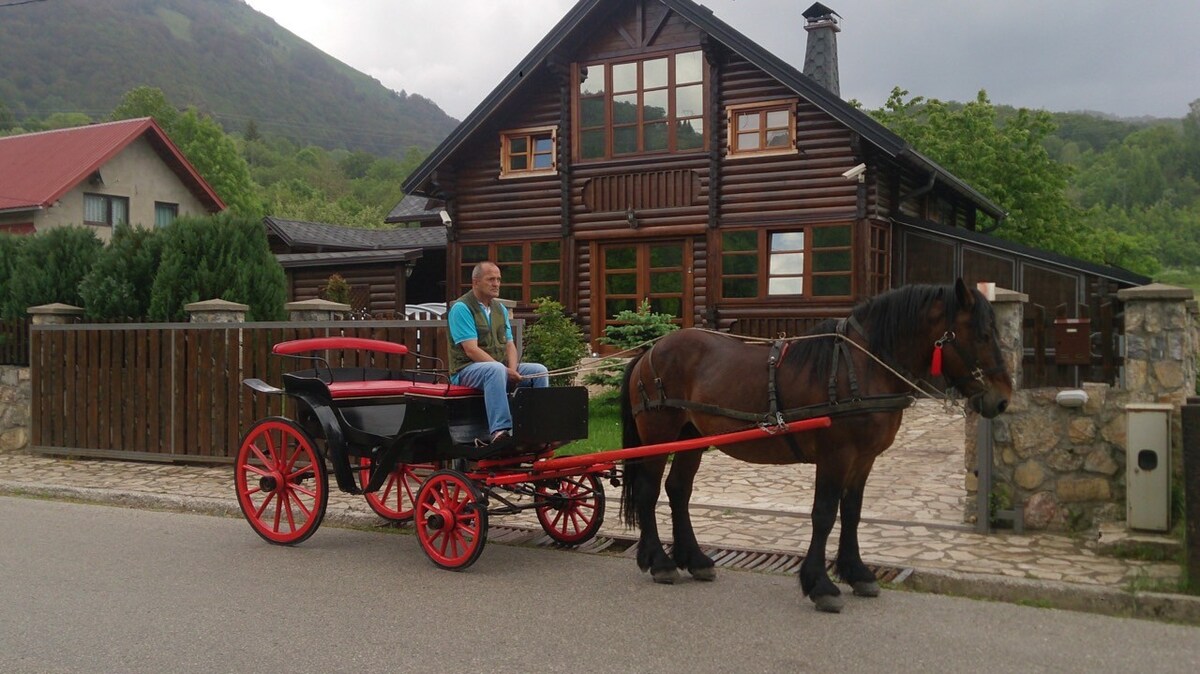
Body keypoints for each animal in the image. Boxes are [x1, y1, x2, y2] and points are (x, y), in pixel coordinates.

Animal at [619, 277, 1012, 609]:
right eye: (981, 334)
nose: (1003, 400)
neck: (863, 366)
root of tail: (651, 350)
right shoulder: (835, 456)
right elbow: (824, 514)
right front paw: (820, 585)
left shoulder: (864, 459)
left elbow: (852, 512)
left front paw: (857, 573)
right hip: (658, 434)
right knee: (649, 491)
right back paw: (659, 562)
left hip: (693, 436)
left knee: (678, 490)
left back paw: (695, 559)